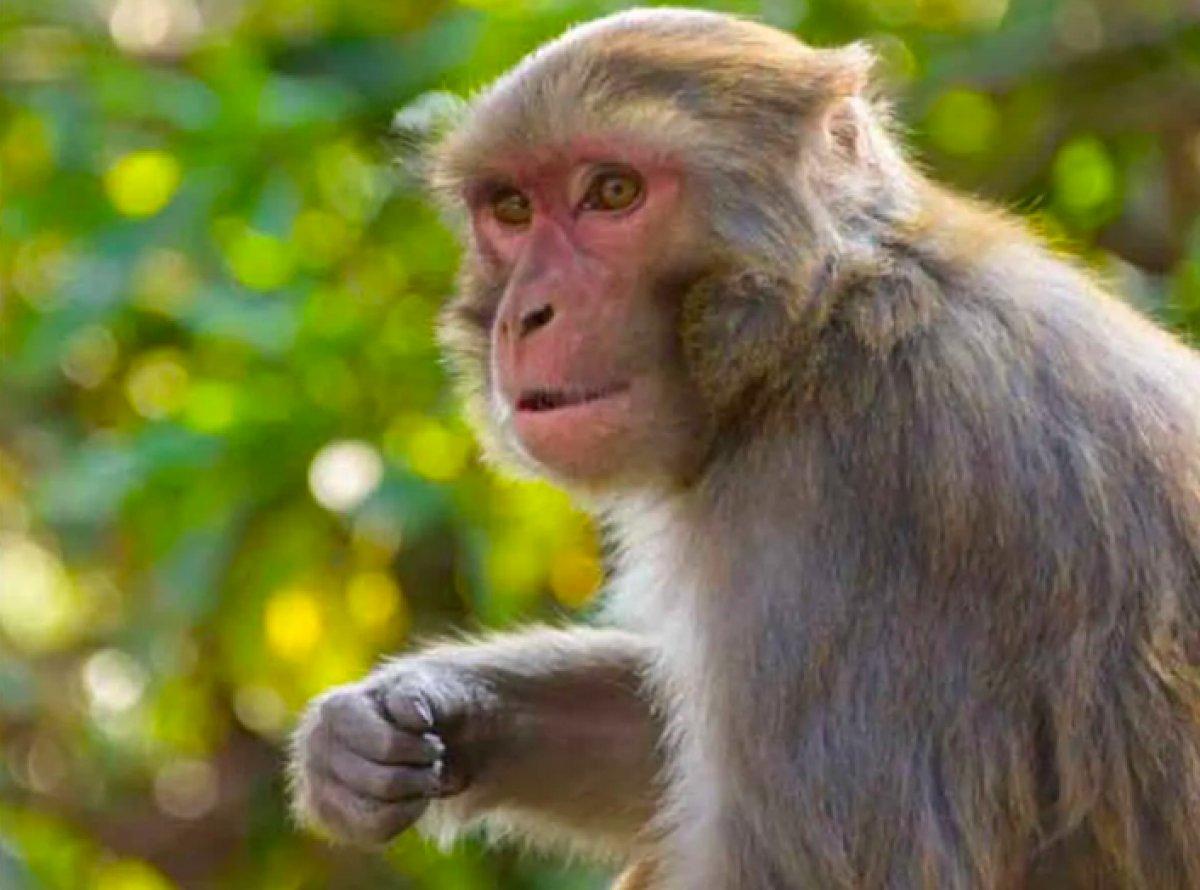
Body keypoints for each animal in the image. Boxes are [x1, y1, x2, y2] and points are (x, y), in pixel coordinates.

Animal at [289, 8, 1200, 889]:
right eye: (511, 209)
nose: (527, 314)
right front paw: (389, 722)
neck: (817, 334)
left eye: (612, 192)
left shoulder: (864, 500)